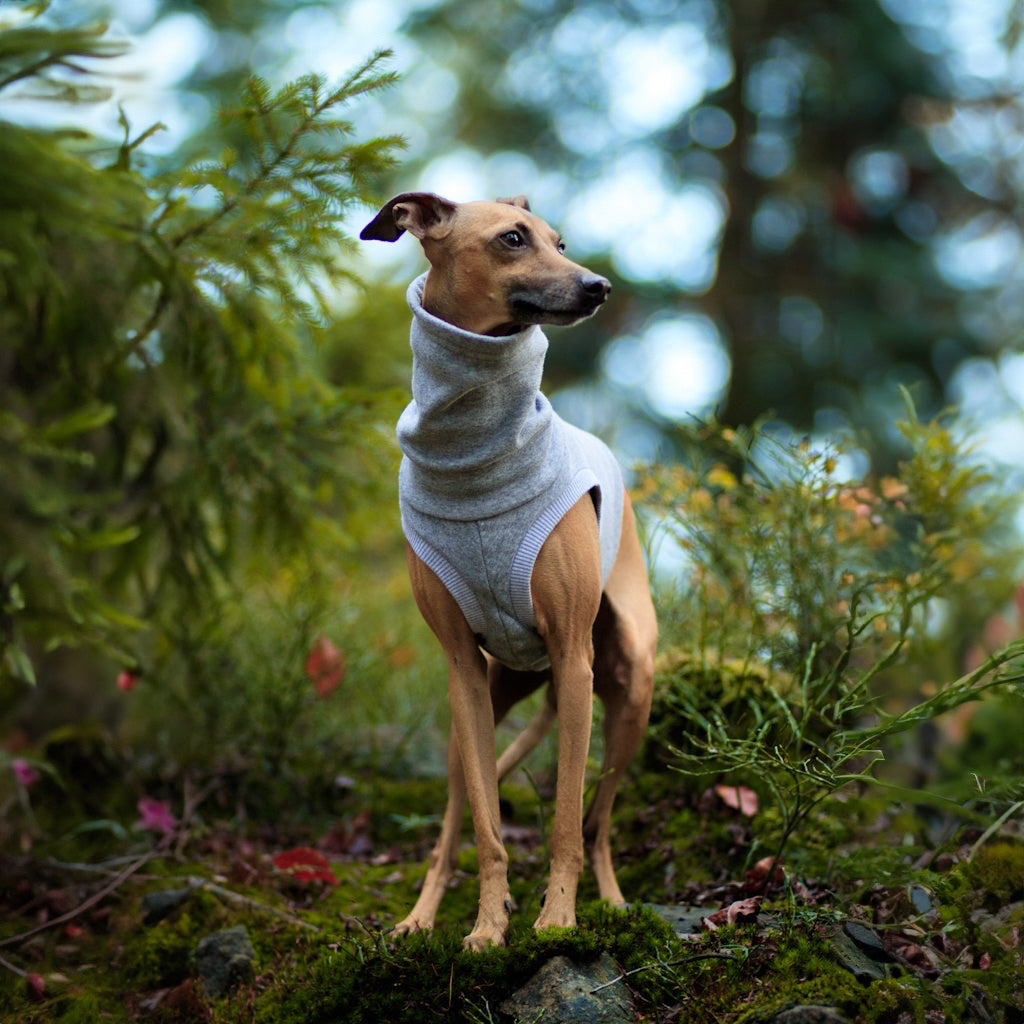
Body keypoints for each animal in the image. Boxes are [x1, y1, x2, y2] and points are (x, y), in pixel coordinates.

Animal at [360, 193, 655, 950]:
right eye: (513, 239)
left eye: (562, 241)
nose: (598, 287)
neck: (474, 461)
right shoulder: (462, 669)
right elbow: (489, 829)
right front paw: (489, 926)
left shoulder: (575, 660)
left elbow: (565, 824)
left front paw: (557, 919)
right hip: (484, 705)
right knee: (455, 821)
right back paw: (420, 916)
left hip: (626, 684)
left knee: (599, 821)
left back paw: (612, 903)